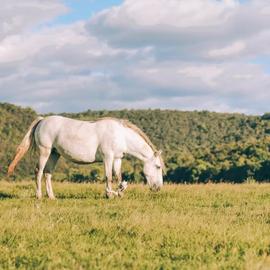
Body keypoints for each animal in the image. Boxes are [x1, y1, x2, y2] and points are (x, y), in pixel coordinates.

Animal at [7, 115, 165, 199]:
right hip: (44, 152)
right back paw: (39, 196)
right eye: (158, 167)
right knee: (38, 172)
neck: (121, 135)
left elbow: (118, 177)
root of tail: (42, 120)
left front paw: (119, 192)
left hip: (54, 154)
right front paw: (109, 195)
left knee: (48, 174)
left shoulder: (117, 159)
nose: (158, 188)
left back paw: (52, 197)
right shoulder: (108, 157)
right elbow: (108, 177)